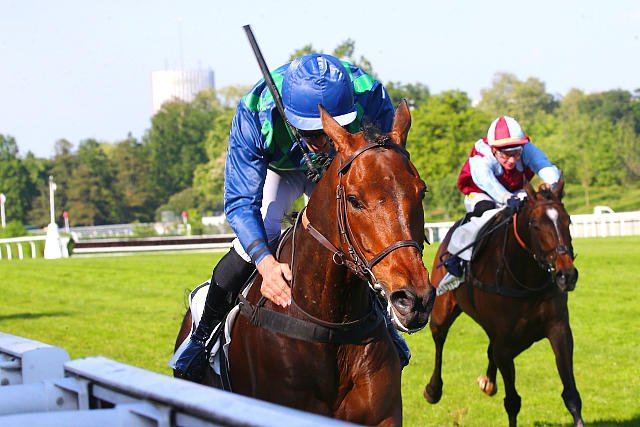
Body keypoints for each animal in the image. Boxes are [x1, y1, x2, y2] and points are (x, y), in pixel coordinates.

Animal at [424, 178, 583, 427]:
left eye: (568, 221)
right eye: (536, 226)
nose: (567, 275)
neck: (525, 279)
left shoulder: (558, 329)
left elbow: (571, 394)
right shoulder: (505, 344)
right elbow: (512, 401)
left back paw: (488, 381)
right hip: (442, 309)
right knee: (439, 338)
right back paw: (433, 389)